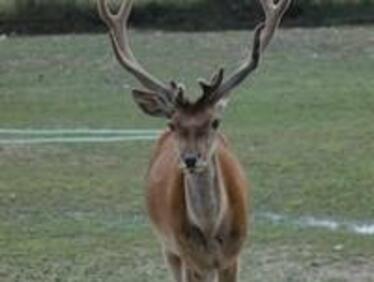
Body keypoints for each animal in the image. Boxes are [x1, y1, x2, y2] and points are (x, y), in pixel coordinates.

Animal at [98, 1, 290, 280]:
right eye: (172, 124)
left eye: (214, 122)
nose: (190, 159)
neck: (211, 229)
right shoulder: (190, 258)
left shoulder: (233, 257)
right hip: (167, 246)